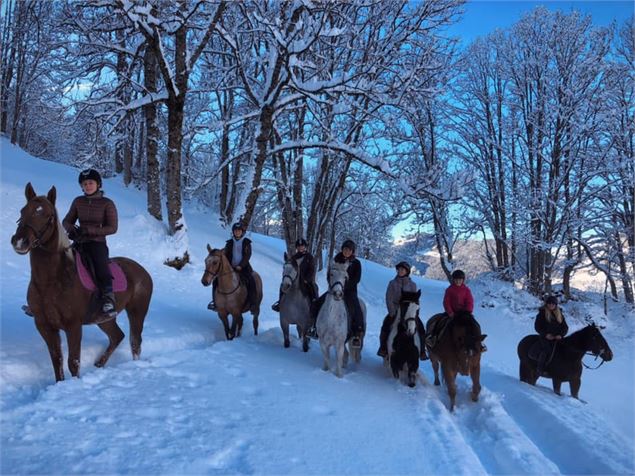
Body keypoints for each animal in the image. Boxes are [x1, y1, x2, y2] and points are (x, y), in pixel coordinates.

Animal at [11, 182, 153, 384]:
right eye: (23, 211)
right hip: (104, 319)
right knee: (117, 336)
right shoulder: (45, 326)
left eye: (47, 215)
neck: (50, 281)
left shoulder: (73, 326)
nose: (20, 241)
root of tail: (143, 271)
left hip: (137, 312)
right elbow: (57, 360)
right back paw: (99, 364)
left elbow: (73, 362)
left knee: (135, 341)